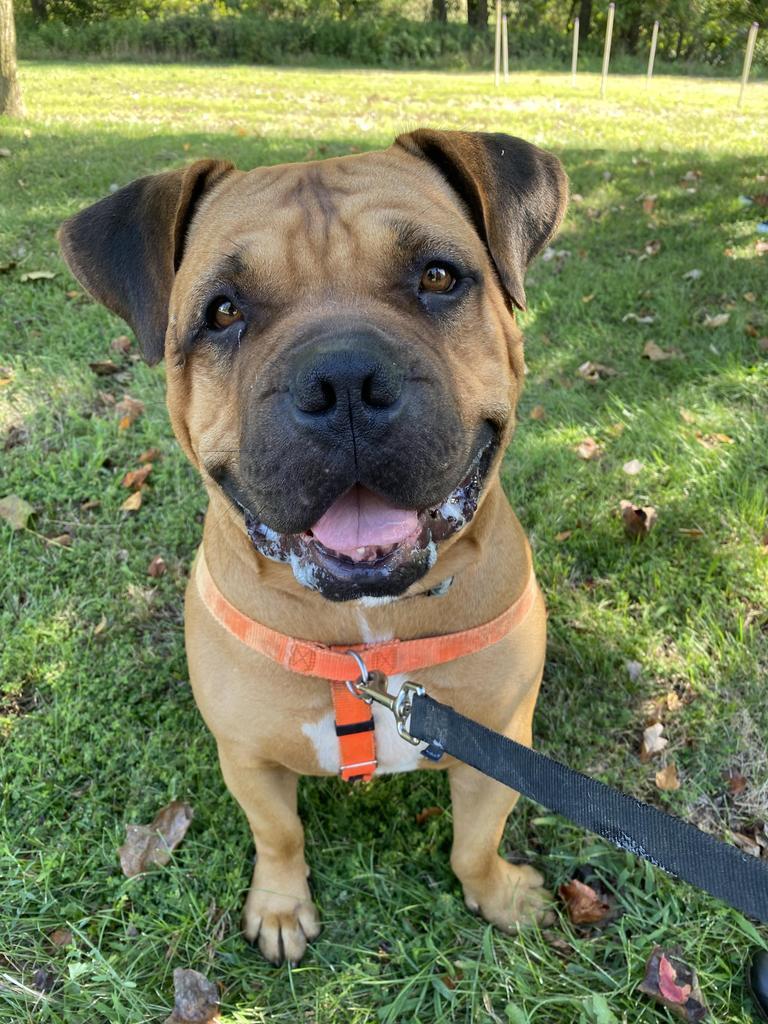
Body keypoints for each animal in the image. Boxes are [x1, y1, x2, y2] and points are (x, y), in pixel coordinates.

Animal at [60, 130, 569, 966]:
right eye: (223, 311)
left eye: (437, 276)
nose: (344, 380)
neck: (367, 635)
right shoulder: (247, 756)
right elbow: (278, 836)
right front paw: (279, 907)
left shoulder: (497, 744)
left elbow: (473, 842)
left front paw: (497, 895)